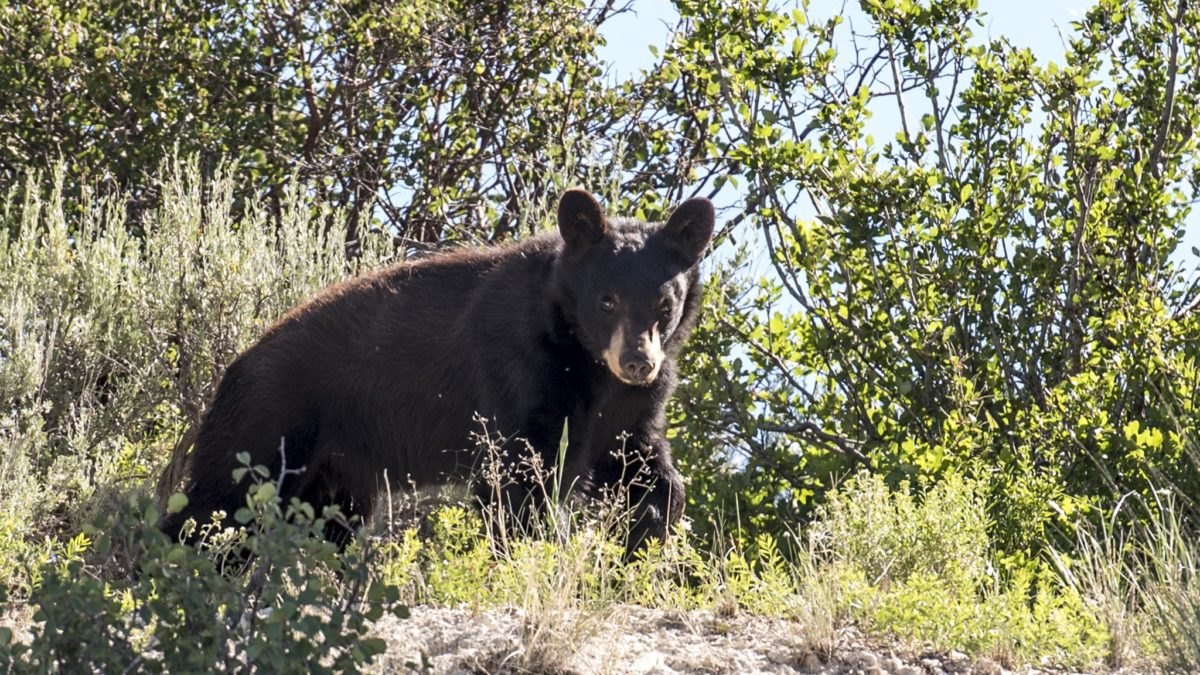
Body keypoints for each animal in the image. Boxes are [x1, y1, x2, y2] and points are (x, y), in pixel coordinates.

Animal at [158, 188, 715, 553]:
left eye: (664, 303)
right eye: (607, 299)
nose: (638, 362)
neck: (585, 358)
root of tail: (233, 367)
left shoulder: (631, 406)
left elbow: (640, 461)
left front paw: (646, 534)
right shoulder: (522, 371)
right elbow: (518, 479)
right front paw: (531, 554)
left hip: (335, 472)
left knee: (323, 523)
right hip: (269, 422)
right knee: (216, 505)